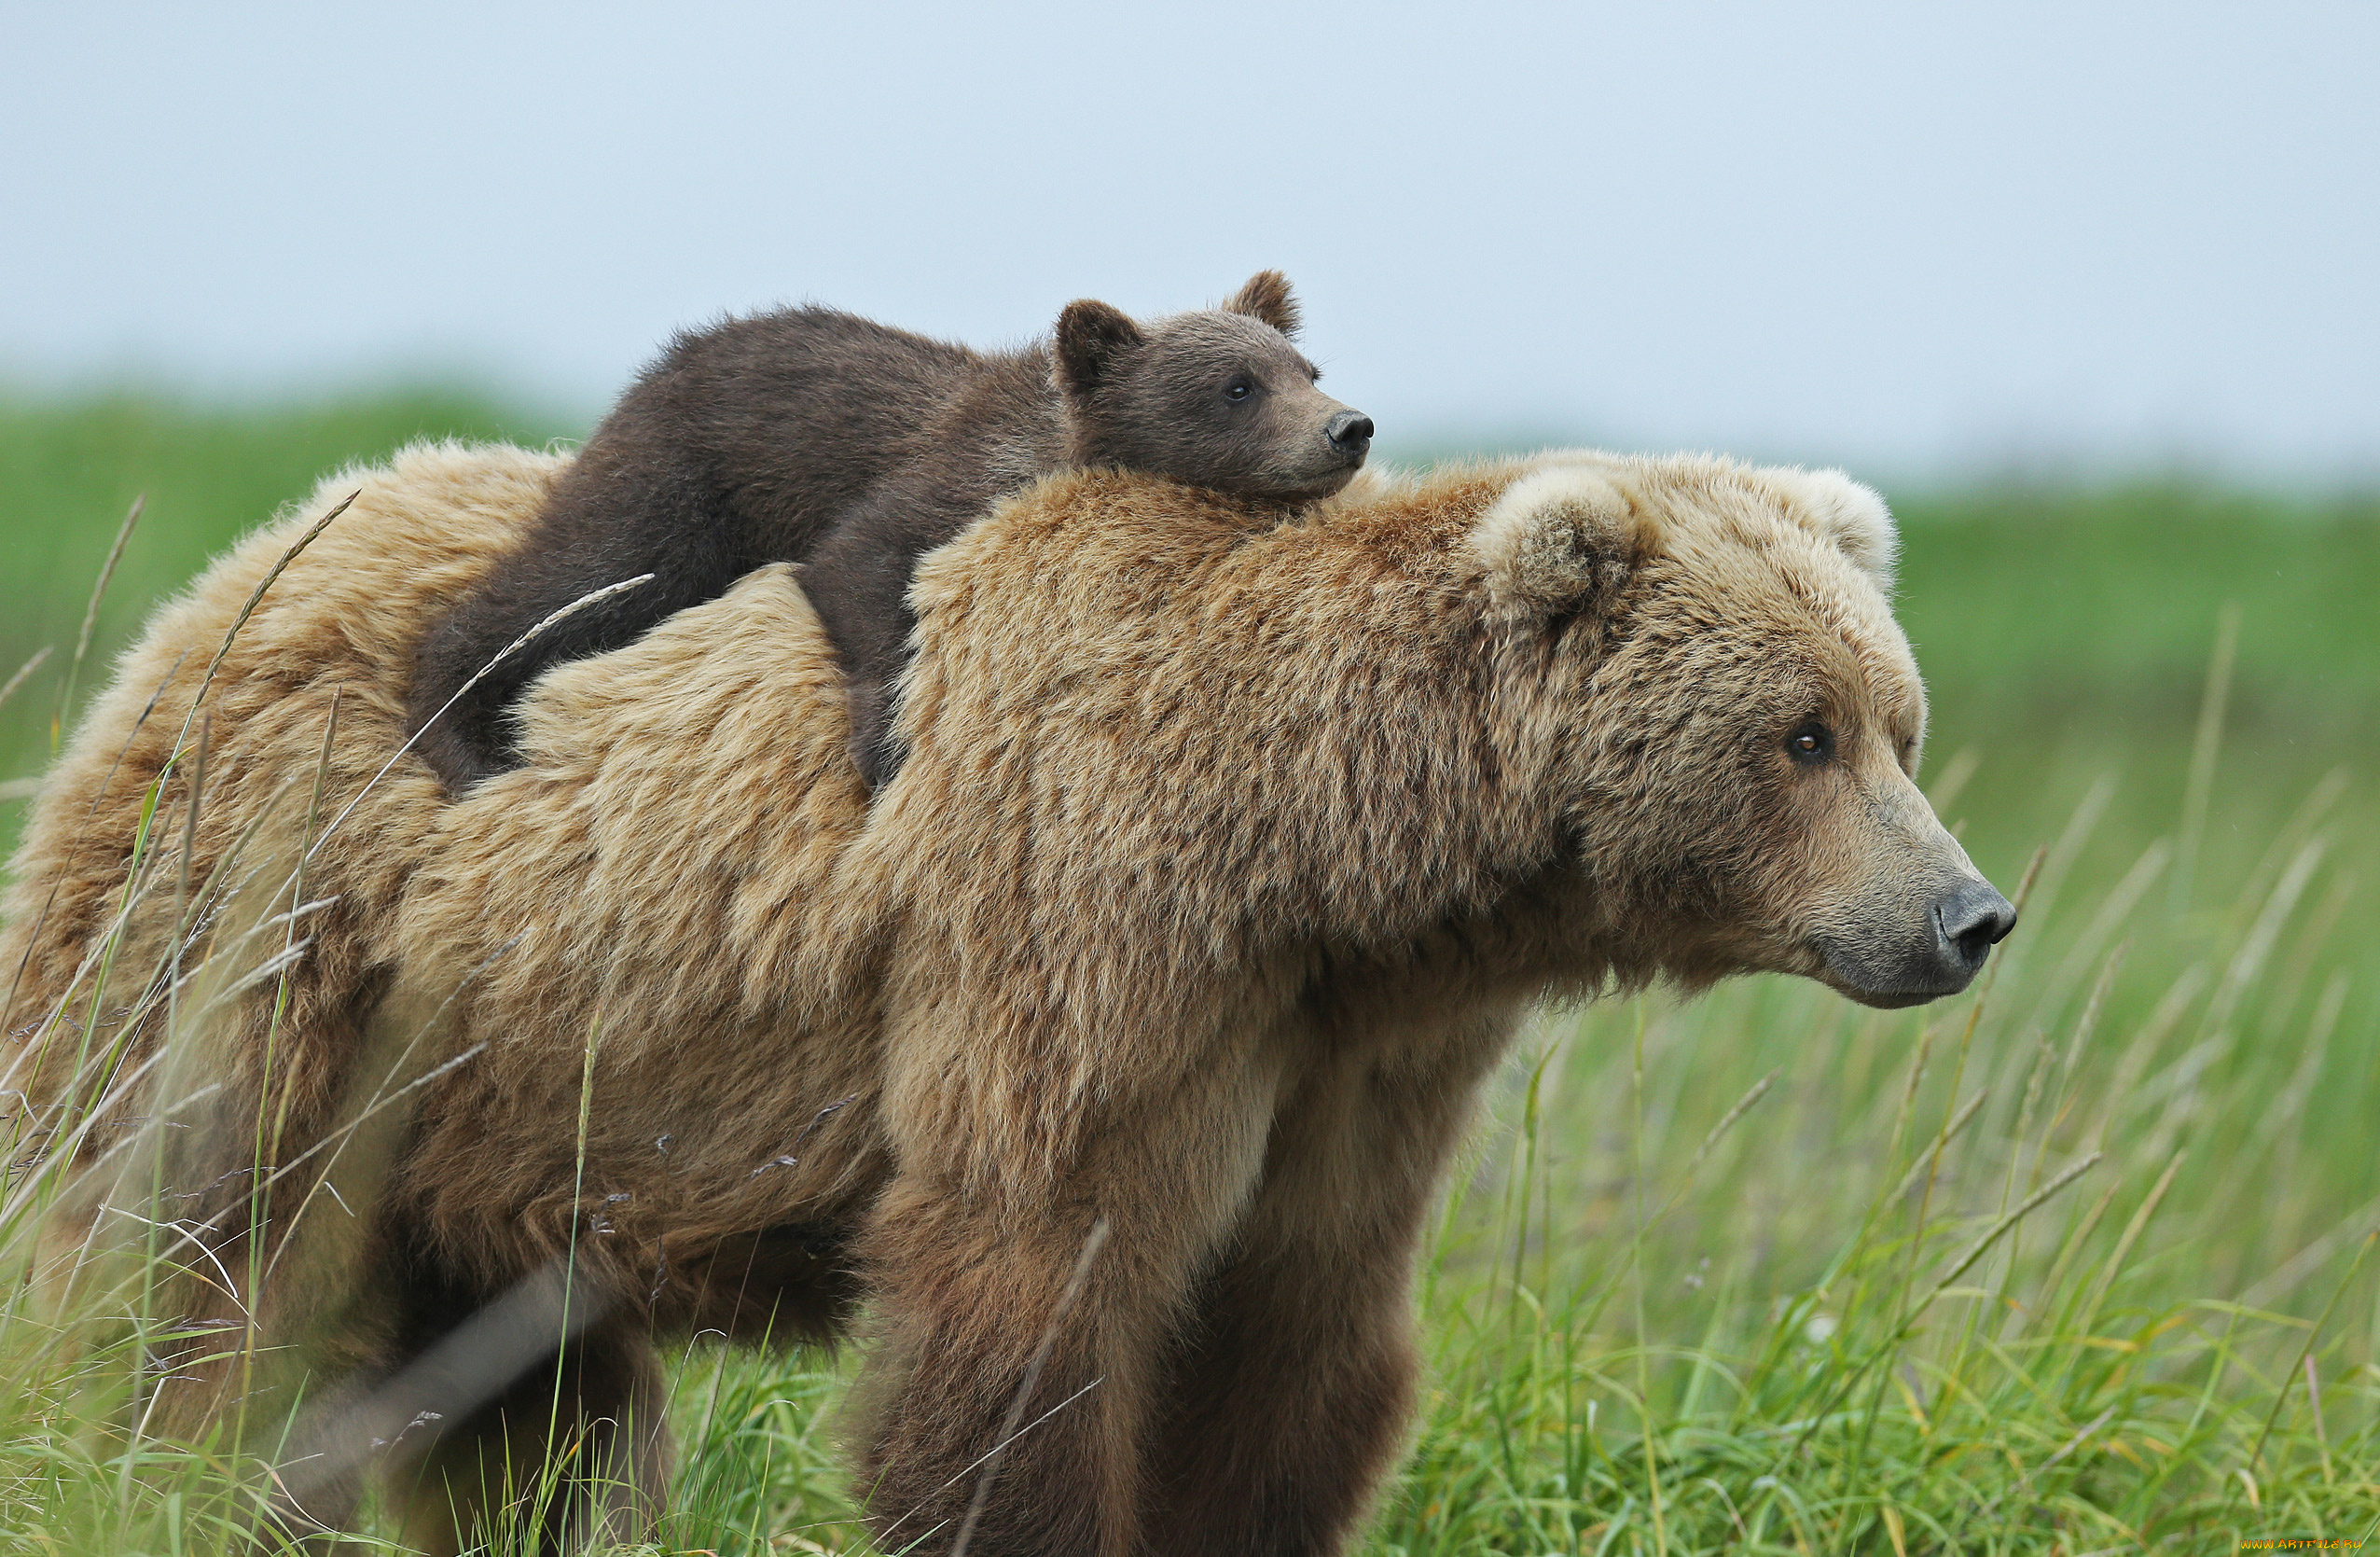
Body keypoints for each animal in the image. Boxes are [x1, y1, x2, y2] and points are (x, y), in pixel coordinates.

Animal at [0, 445, 2008, 1551]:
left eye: (1895, 719)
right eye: (1801, 733)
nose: (1967, 912)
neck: (1318, 857)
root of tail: (223, 580)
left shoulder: (1351, 1057)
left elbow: (1292, 1346)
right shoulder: (1081, 941)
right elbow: (1026, 1310)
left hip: (495, 1106)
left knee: (528, 1409)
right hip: (271, 945)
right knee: (180, 1278)